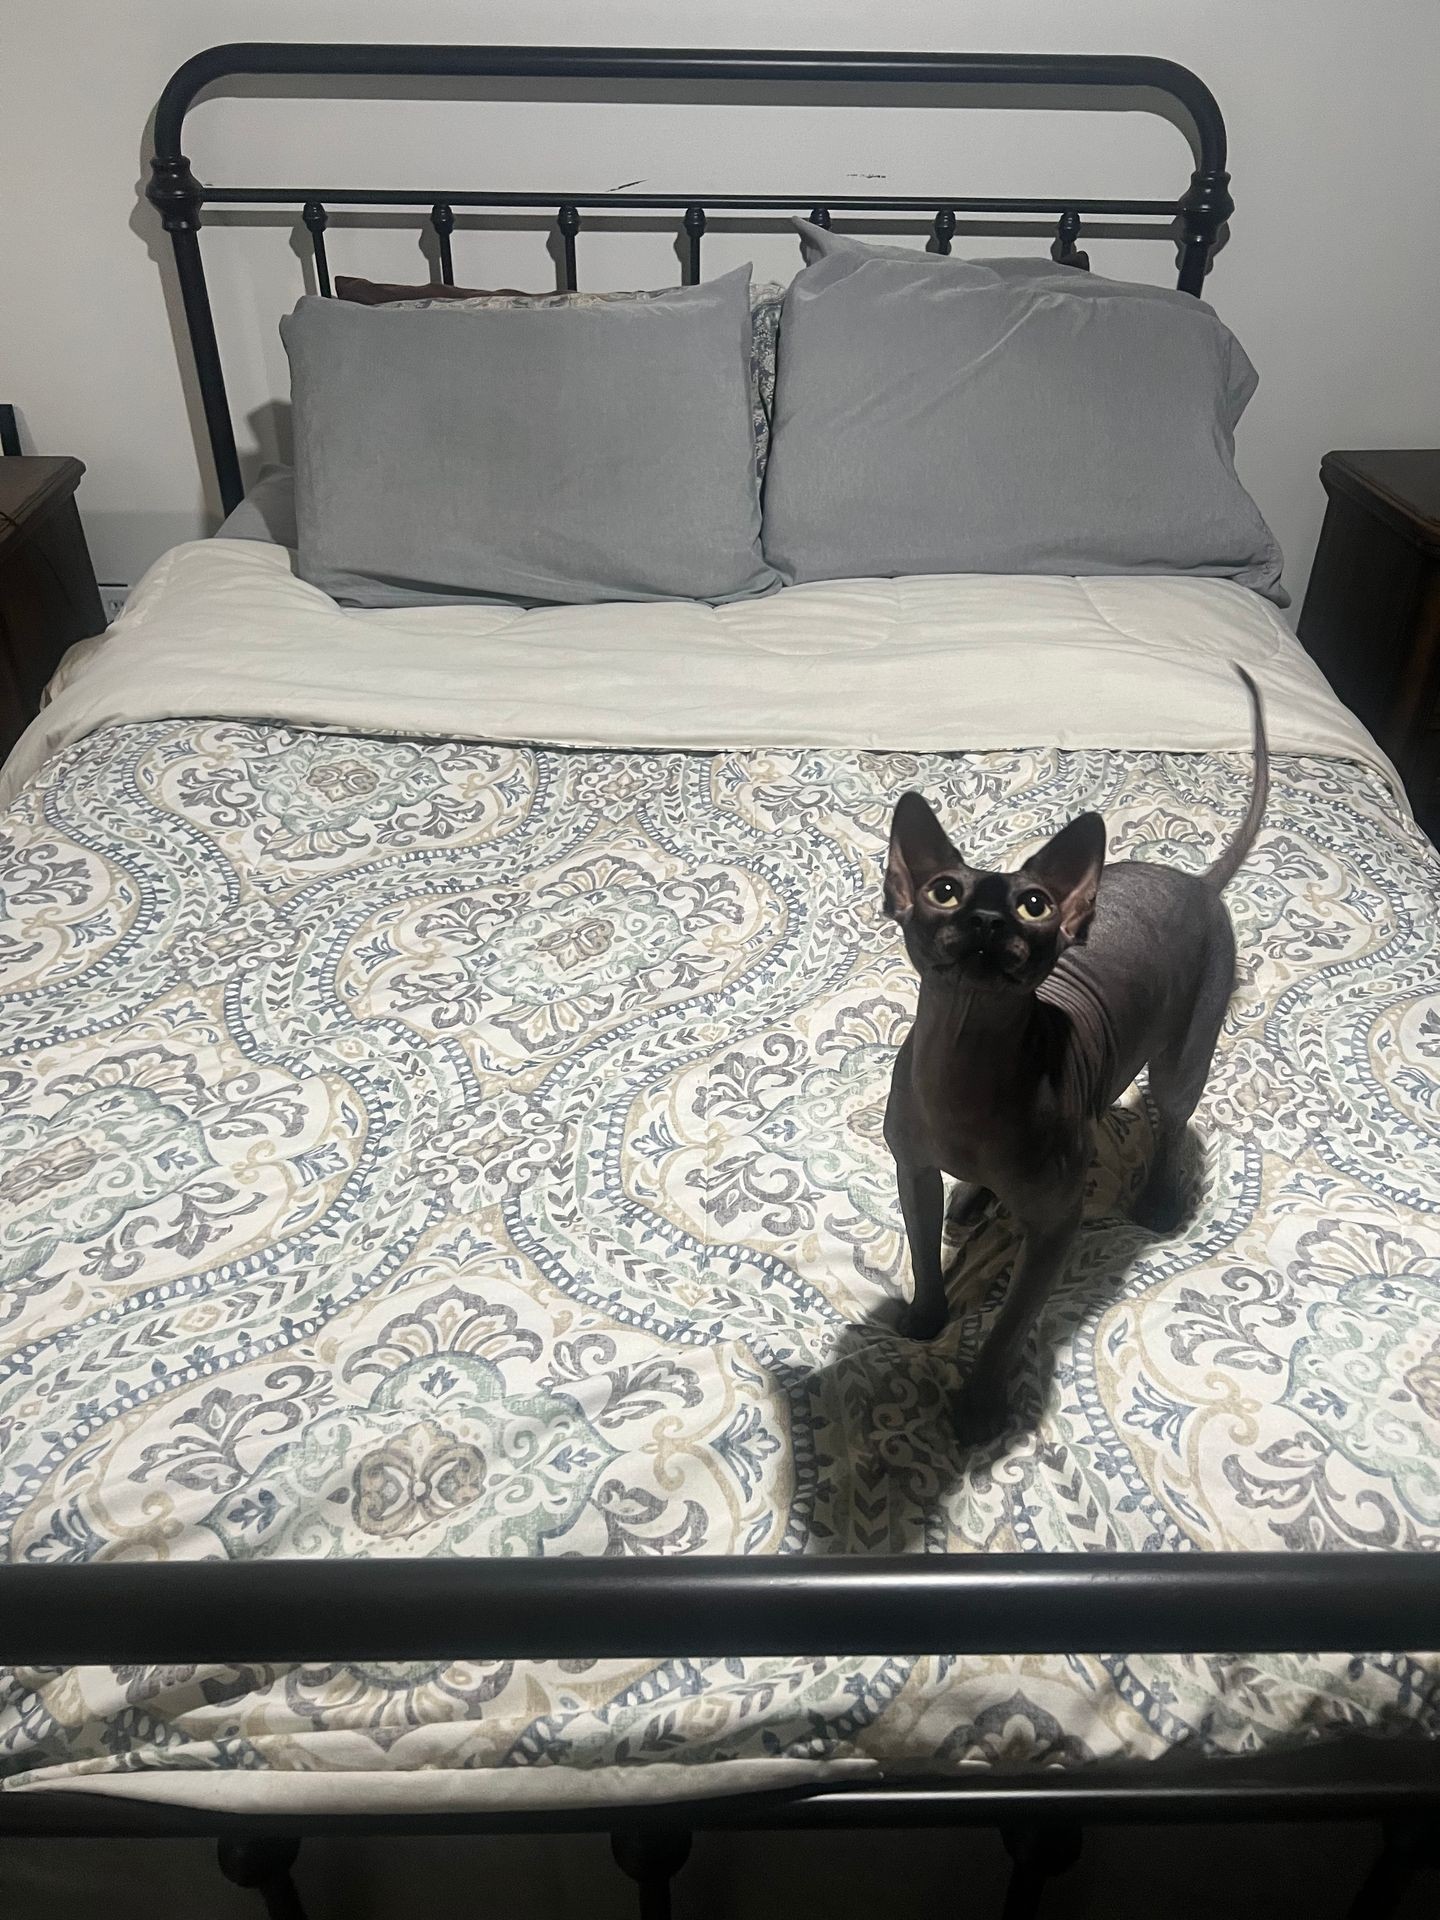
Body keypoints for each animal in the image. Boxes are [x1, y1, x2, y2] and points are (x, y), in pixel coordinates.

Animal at [887, 668, 1267, 1436]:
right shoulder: (913, 1170)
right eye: (944, 892)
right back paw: (974, 1198)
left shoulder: (1055, 1230)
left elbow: (1008, 1325)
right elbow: (925, 1254)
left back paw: (1155, 1200)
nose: (988, 917)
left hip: (1184, 1058)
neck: (964, 1074)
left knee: (1172, 1119)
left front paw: (978, 1409)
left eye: (1033, 905)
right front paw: (926, 1318)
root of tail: (1197, 882)